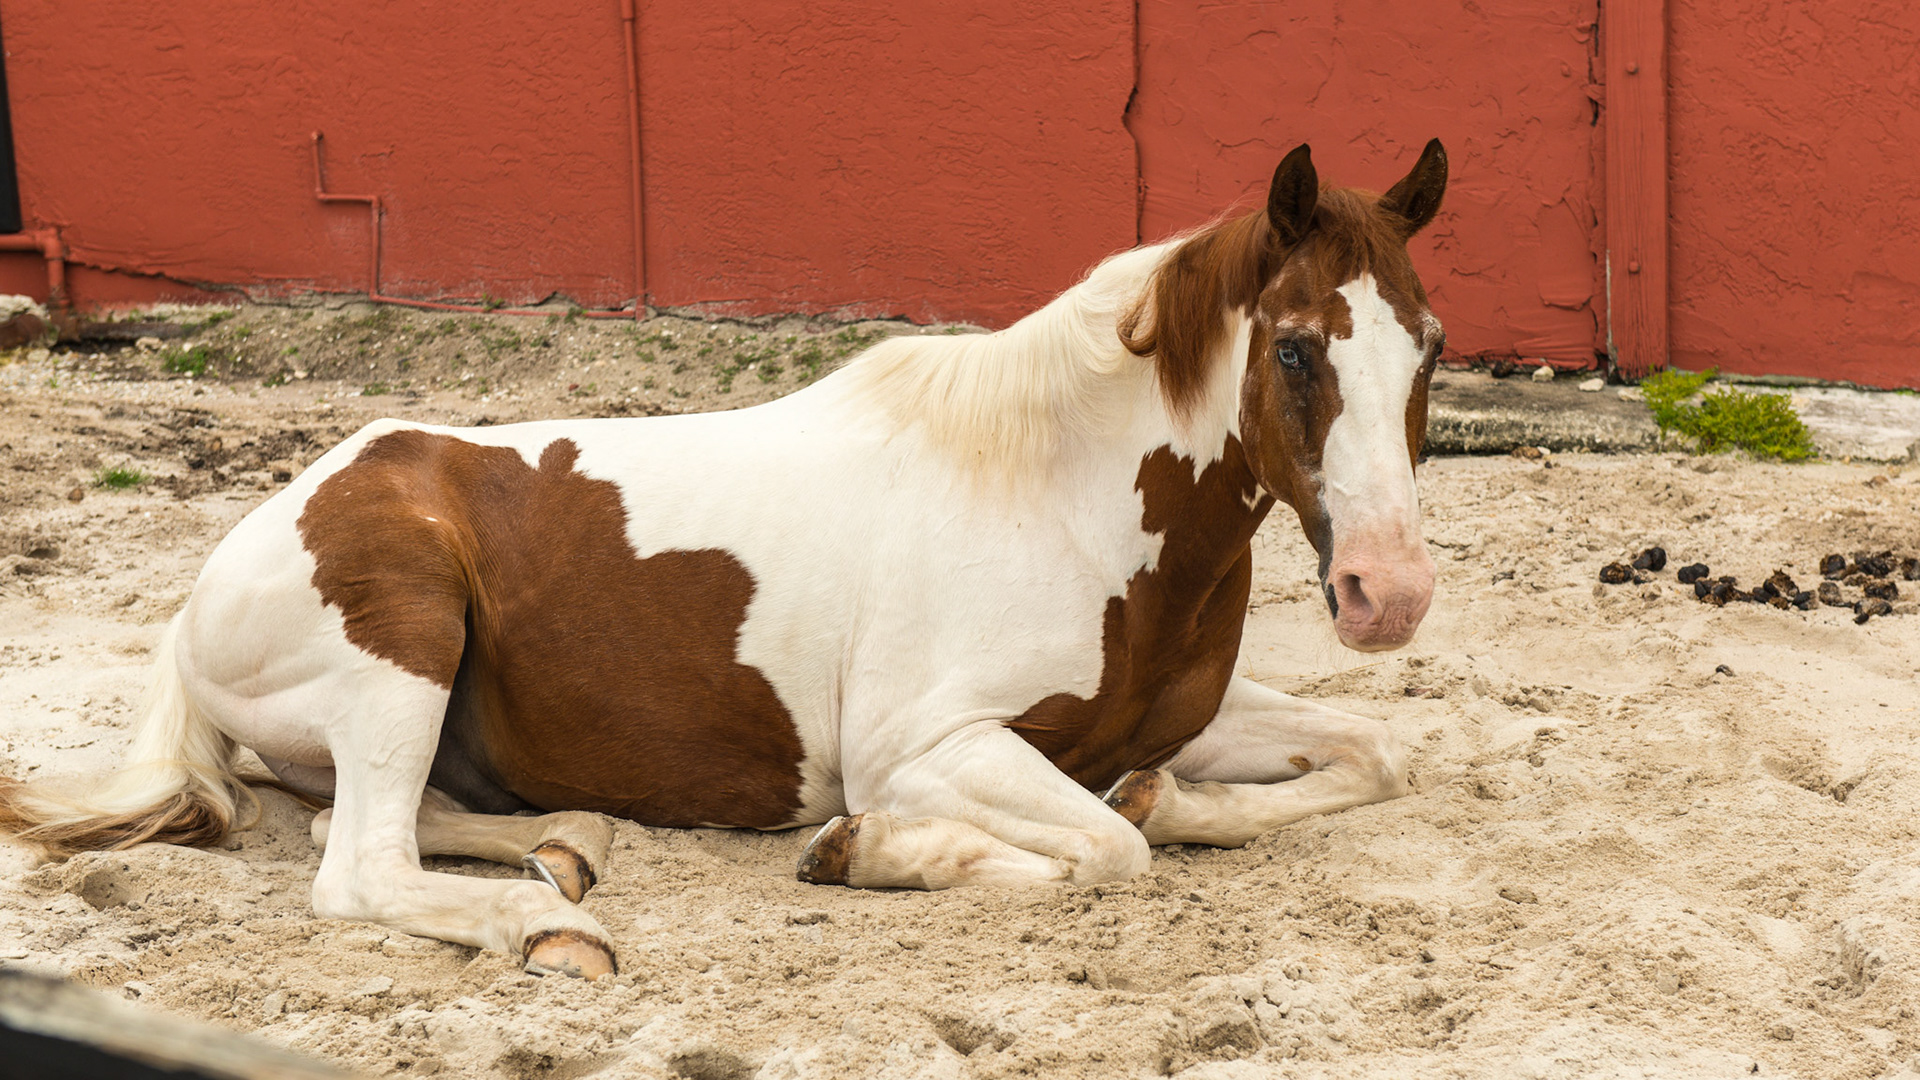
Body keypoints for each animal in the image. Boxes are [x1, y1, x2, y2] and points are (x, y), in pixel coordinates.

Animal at [0, 140, 1449, 980]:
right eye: (1297, 349)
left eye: (1428, 346)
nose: (1389, 595)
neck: (1058, 496)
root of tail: (211, 584)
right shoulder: (929, 746)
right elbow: (1102, 851)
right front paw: (866, 851)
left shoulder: (1183, 717)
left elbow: (1368, 758)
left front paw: (1168, 800)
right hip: (402, 636)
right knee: (358, 866)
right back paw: (550, 926)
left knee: (388, 822)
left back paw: (566, 848)